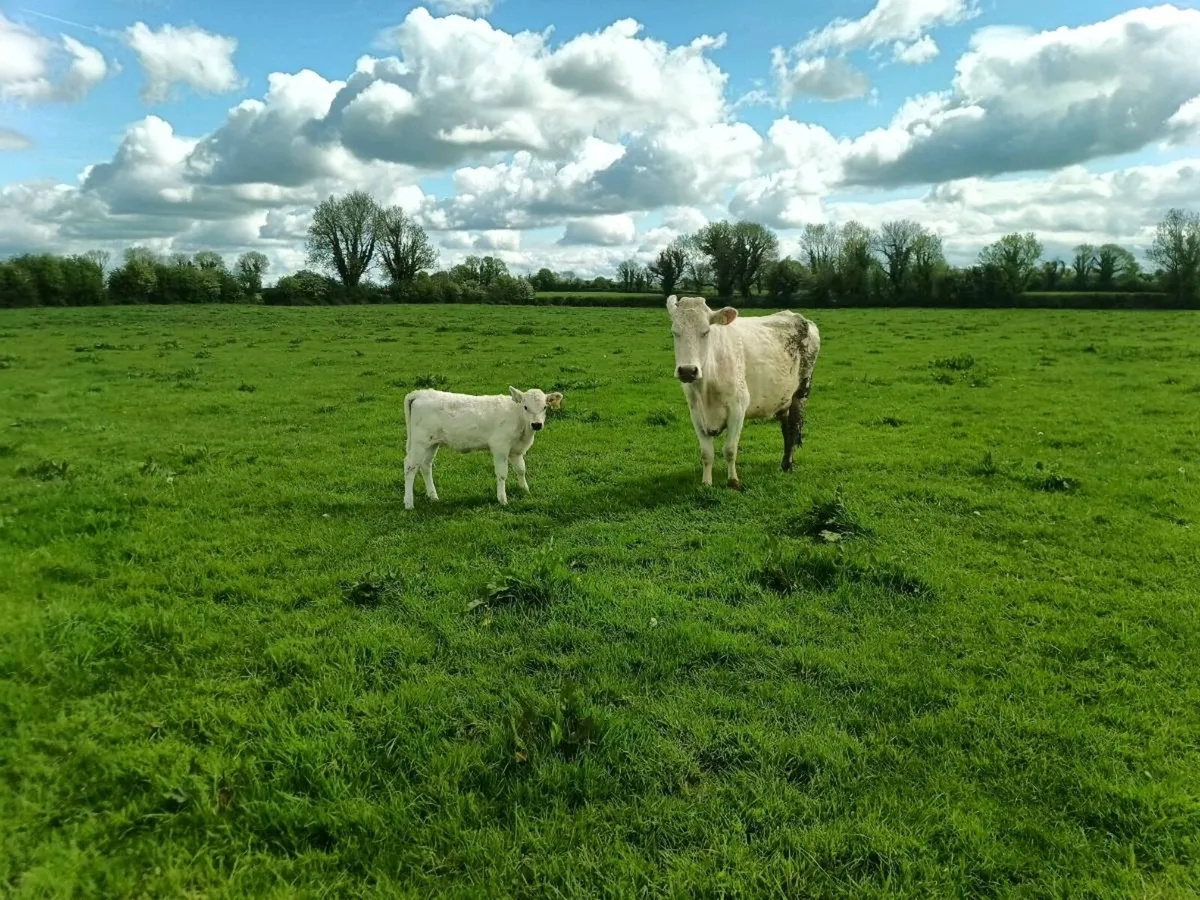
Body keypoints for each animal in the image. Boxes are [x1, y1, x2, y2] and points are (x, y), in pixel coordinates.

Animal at [403, 386, 563, 509]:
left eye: (545, 407)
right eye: (525, 407)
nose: (536, 424)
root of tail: (420, 393)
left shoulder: (516, 451)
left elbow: (521, 470)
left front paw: (525, 490)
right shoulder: (500, 447)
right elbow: (502, 474)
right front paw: (502, 499)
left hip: (432, 443)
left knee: (425, 465)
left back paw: (433, 497)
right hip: (419, 442)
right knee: (410, 466)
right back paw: (409, 503)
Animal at [665, 294, 820, 489]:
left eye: (706, 332)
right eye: (675, 332)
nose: (687, 371)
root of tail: (800, 318)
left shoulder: (738, 409)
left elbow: (730, 450)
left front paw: (733, 481)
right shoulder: (695, 413)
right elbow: (706, 453)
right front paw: (706, 482)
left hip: (801, 393)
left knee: (792, 427)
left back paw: (787, 465)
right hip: (784, 398)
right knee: (786, 429)